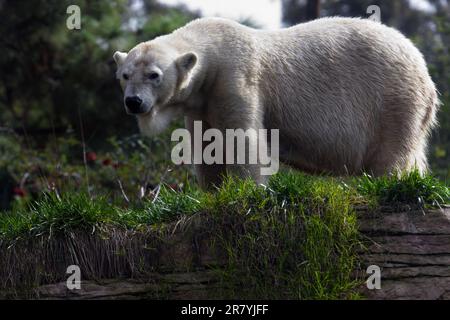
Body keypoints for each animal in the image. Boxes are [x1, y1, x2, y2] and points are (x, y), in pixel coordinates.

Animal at [113, 16, 440, 188]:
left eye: (154, 75)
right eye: (124, 74)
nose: (134, 102)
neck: (213, 48)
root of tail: (425, 71)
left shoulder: (235, 79)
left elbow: (243, 140)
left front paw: (245, 191)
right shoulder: (200, 104)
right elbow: (208, 147)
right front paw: (213, 190)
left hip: (392, 99)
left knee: (393, 153)